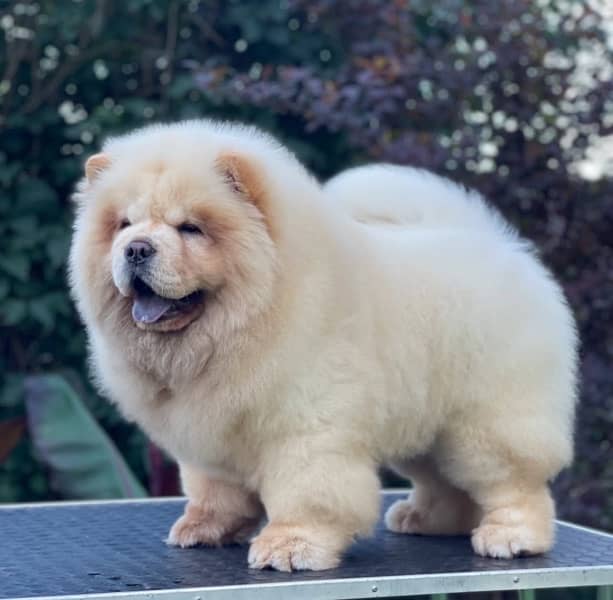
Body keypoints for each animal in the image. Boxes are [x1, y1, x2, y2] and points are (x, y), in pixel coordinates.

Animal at [69, 120, 576, 572]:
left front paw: (290, 548)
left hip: (486, 422)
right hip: (426, 426)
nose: (136, 249)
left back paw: (511, 536)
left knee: (514, 482)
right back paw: (422, 519)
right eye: (123, 224)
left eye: (190, 228)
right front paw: (205, 528)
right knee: (444, 483)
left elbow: (305, 491)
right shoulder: (211, 428)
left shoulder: (305, 425)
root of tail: (498, 246)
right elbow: (215, 489)